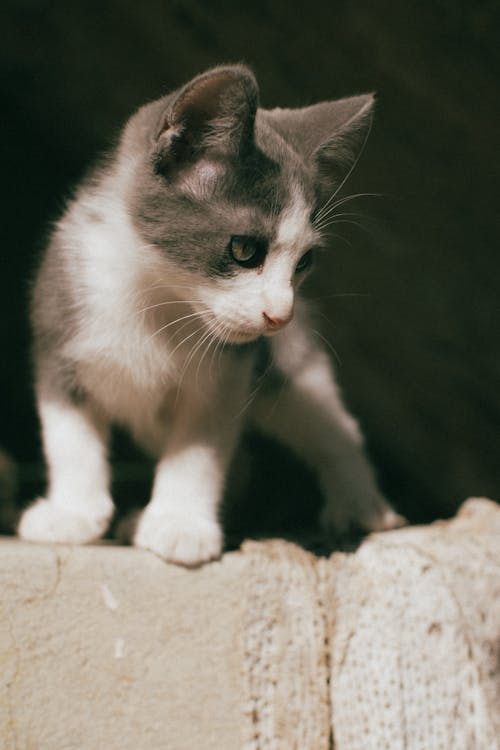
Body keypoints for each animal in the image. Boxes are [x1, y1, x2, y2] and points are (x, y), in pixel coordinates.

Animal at [17, 64, 404, 568]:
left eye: (304, 262)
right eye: (243, 249)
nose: (279, 314)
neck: (154, 301)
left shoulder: (228, 375)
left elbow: (198, 450)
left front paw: (179, 523)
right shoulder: (58, 329)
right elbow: (69, 435)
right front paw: (72, 513)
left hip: (289, 364)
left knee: (330, 423)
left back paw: (361, 504)